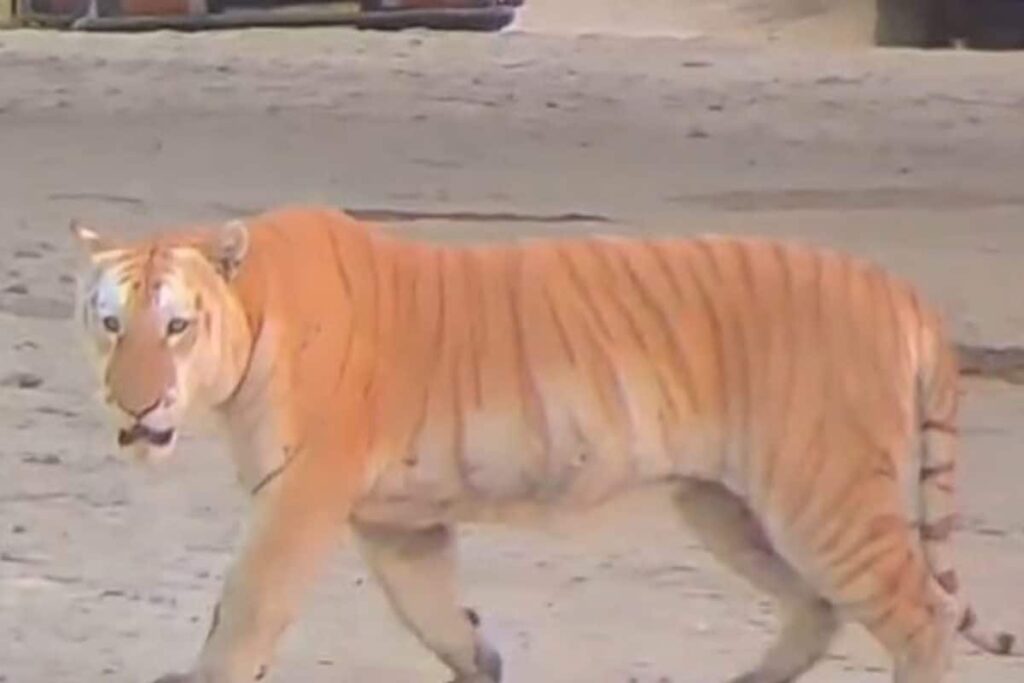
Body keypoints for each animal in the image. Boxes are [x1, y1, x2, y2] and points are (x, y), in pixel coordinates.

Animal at [72, 204, 1015, 683]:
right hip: (728, 505)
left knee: (921, 617)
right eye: (111, 324)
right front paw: (484, 661)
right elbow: (437, 615)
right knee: (818, 607)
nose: (132, 405)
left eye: (178, 327)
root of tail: (903, 290)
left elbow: (244, 612)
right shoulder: (398, 523)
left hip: (823, 500)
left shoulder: (299, 497)